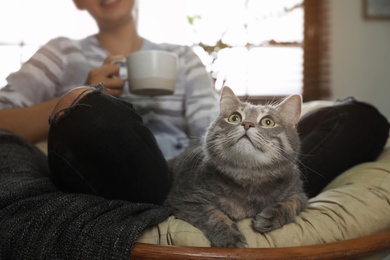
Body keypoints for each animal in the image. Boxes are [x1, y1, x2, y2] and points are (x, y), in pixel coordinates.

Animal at [165, 86, 308, 248]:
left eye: (268, 122)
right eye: (235, 118)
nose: (247, 124)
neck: (249, 177)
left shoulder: (299, 194)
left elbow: (292, 203)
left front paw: (270, 217)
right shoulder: (184, 199)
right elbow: (212, 214)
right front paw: (230, 237)